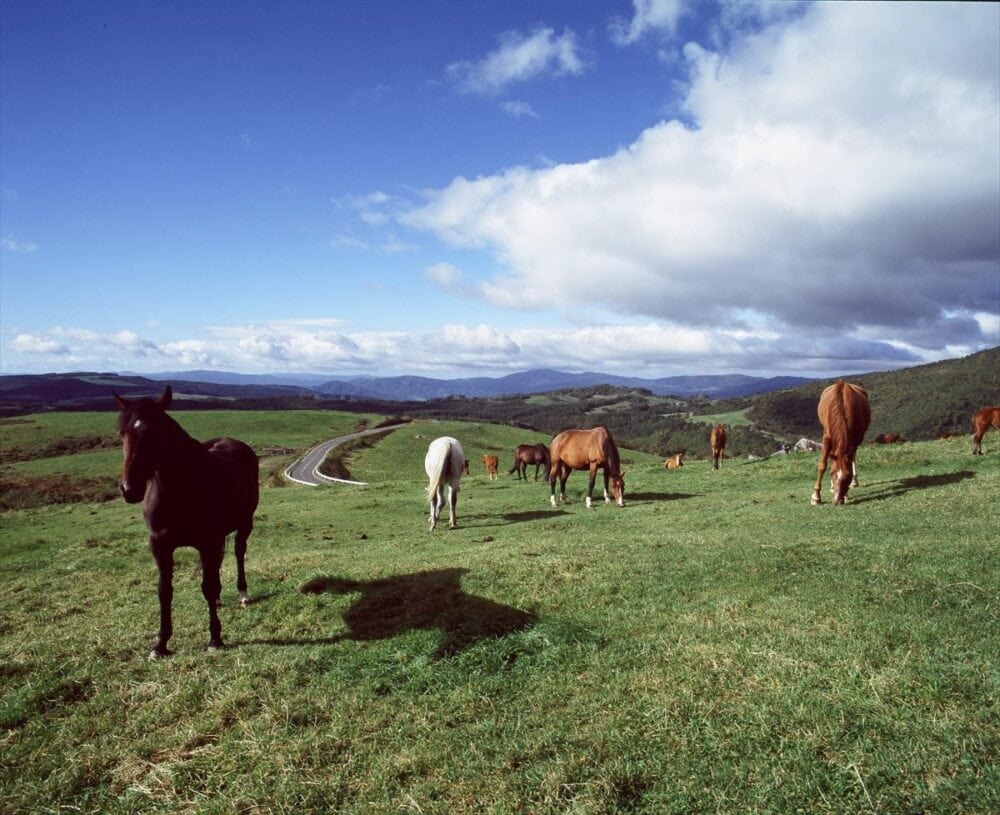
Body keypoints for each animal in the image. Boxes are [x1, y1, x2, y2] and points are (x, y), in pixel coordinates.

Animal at [115, 386, 260, 660]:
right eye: (121, 433)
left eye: (155, 432)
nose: (130, 489)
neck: (179, 491)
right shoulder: (159, 545)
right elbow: (165, 591)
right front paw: (160, 644)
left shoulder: (207, 542)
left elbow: (207, 586)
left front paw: (215, 639)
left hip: (244, 523)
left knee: (238, 553)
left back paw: (243, 594)